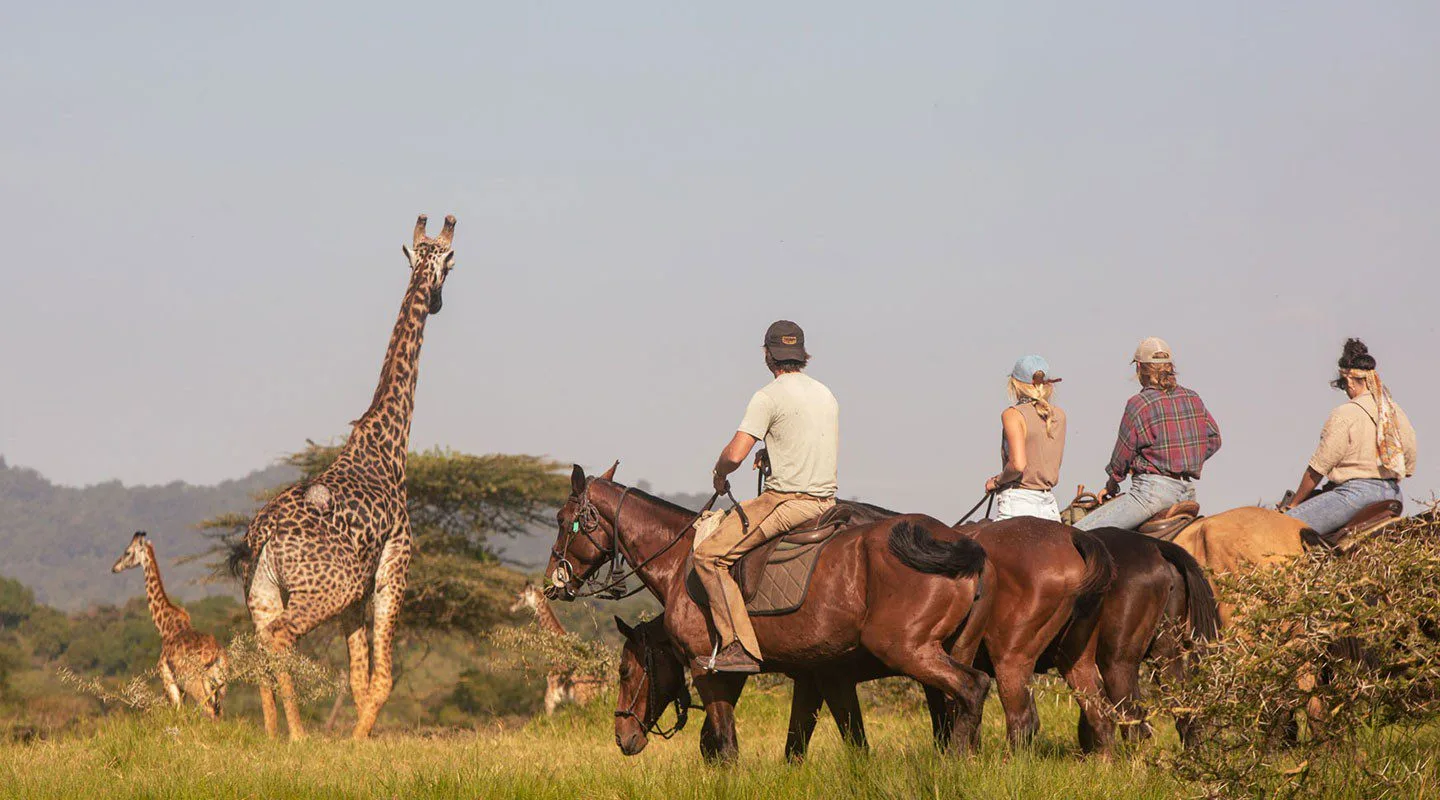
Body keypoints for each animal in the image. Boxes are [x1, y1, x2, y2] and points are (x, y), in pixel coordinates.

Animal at [546, 465, 992, 762]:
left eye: (563, 520)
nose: (554, 581)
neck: (680, 560)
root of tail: (958, 543)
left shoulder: (713, 672)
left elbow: (723, 745)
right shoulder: (815, 676)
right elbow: (801, 745)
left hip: (909, 651)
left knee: (971, 688)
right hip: (950, 649)